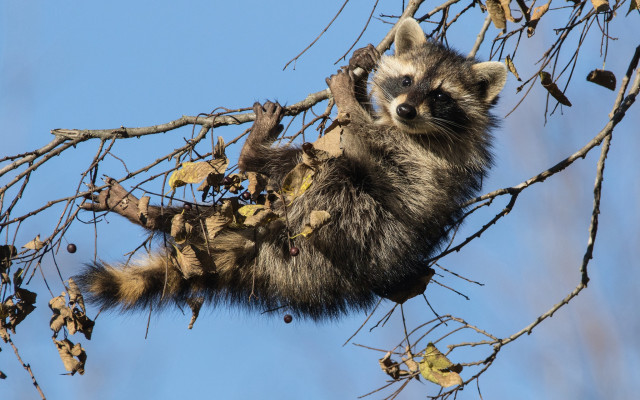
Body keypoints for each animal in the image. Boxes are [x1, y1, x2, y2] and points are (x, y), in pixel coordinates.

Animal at [77, 19, 507, 320]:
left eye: (440, 95)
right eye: (406, 80)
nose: (404, 109)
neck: (412, 127)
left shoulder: (422, 156)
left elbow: (364, 137)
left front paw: (348, 97)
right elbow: (356, 128)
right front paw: (361, 73)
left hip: (353, 225)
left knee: (327, 170)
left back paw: (253, 155)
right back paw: (156, 215)